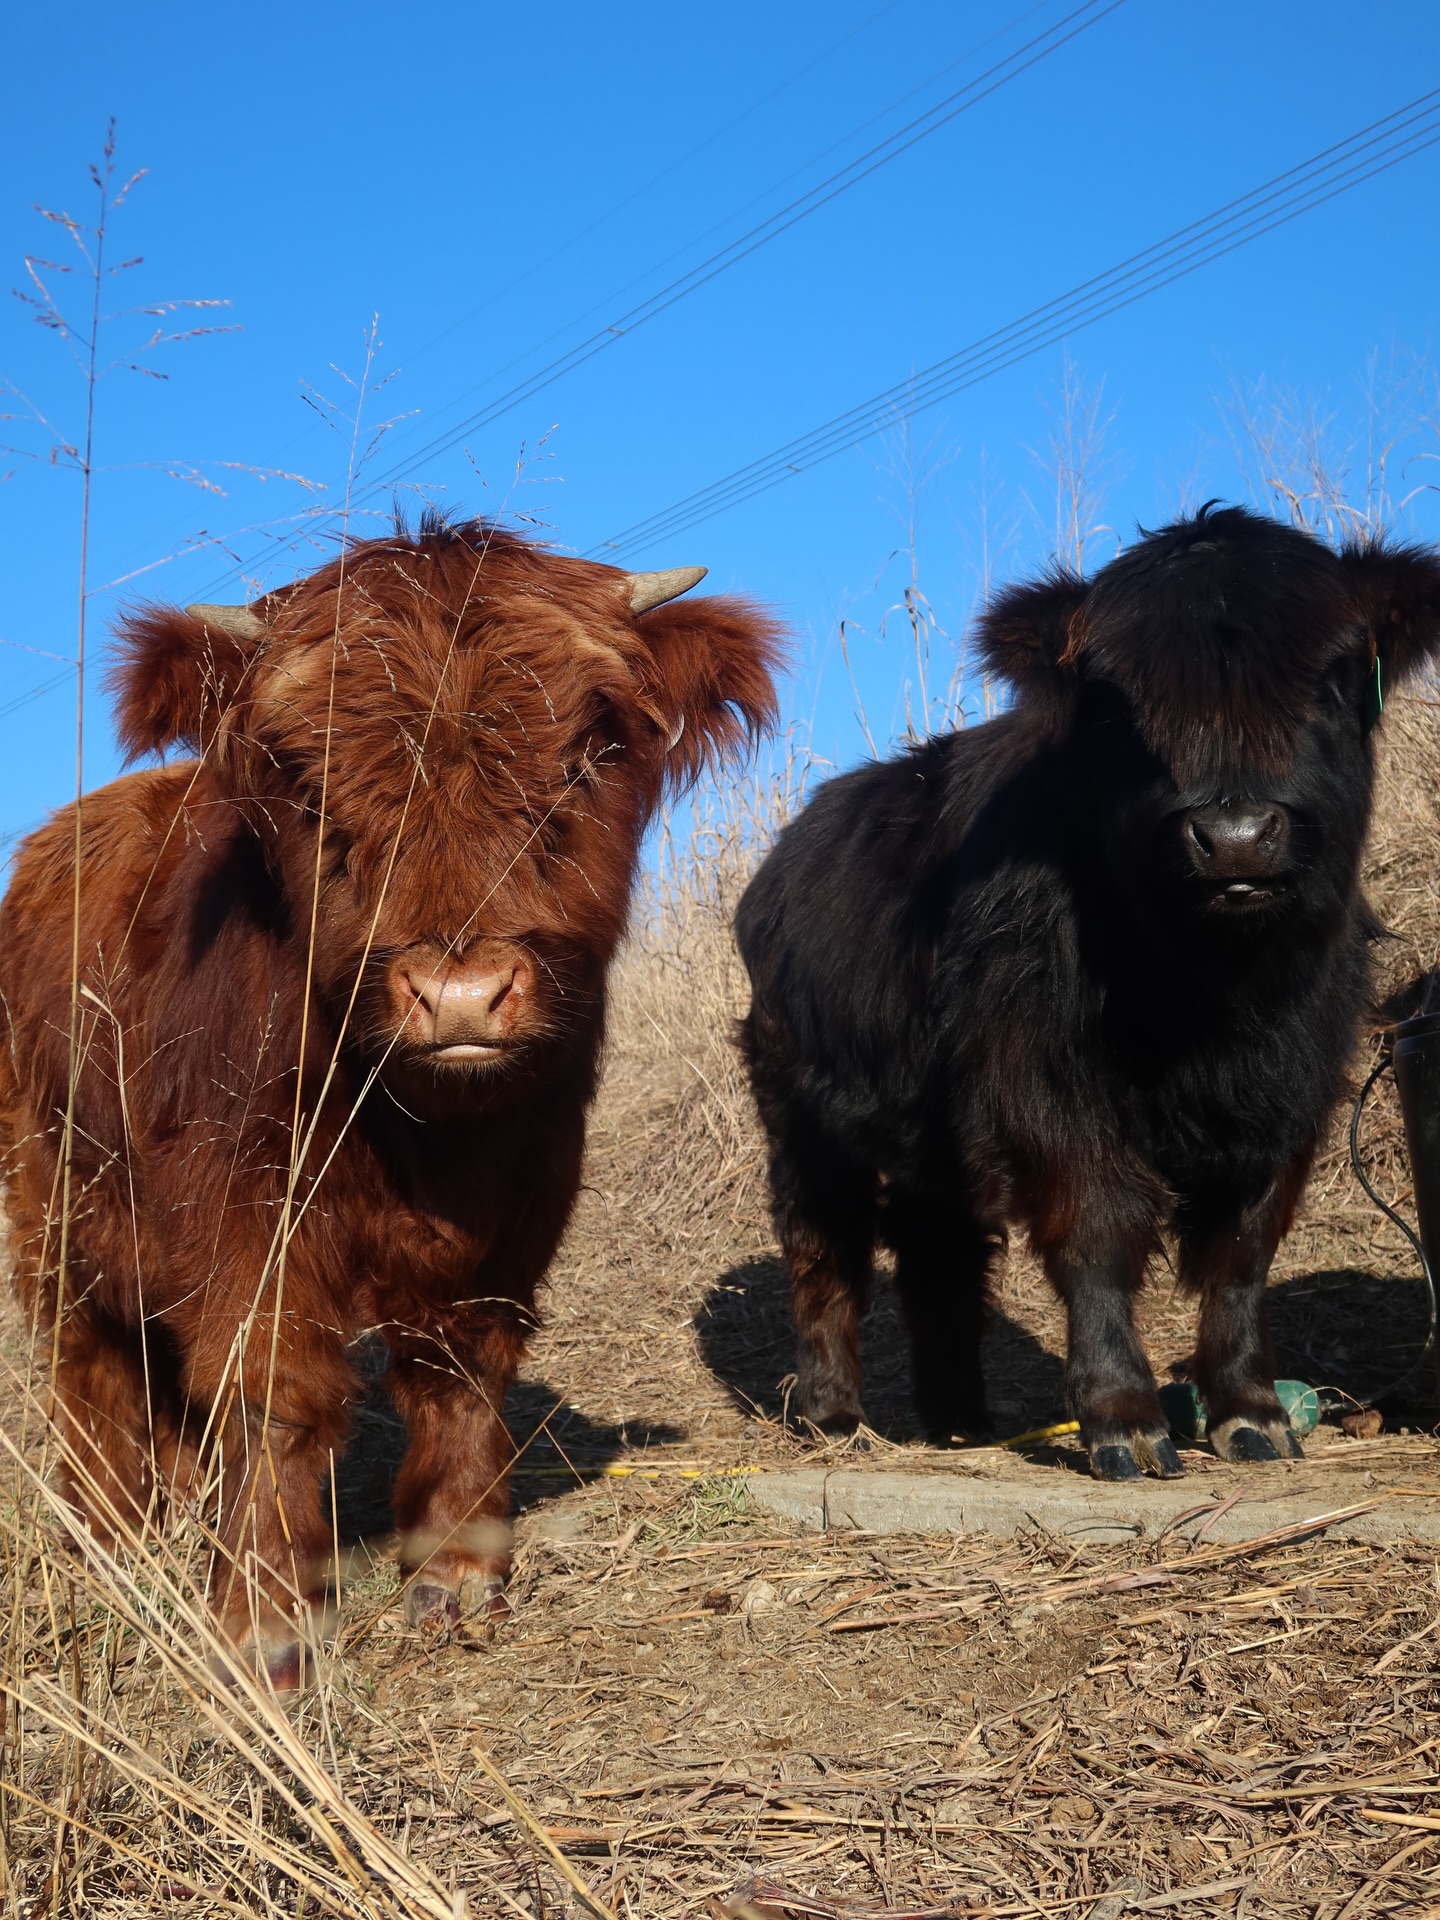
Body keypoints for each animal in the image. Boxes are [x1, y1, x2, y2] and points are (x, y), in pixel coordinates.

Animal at [0, 515, 782, 1682]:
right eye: (312, 785)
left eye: (580, 762)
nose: (458, 994)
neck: (420, 1133)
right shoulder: (245, 1212)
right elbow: (274, 1392)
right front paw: (262, 1619)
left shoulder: (525, 1193)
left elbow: (460, 1369)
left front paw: (454, 1569)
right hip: (53, 1200)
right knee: (89, 1365)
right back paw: (110, 1536)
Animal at [735, 505, 1440, 1480]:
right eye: (1117, 704)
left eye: (1334, 678)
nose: (1235, 837)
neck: (1216, 993)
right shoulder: (1046, 1086)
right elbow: (1101, 1229)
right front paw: (1123, 1418)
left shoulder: (1293, 1095)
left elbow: (1242, 1254)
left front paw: (1250, 1410)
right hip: (800, 1114)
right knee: (824, 1252)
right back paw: (834, 1415)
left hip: (930, 1135)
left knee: (939, 1256)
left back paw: (960, 1419)